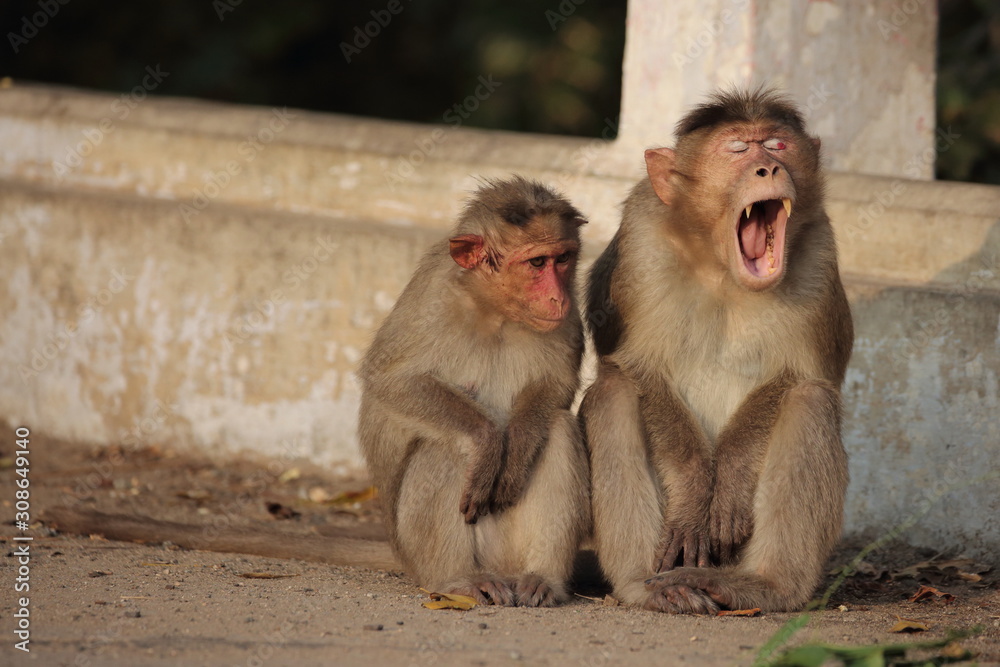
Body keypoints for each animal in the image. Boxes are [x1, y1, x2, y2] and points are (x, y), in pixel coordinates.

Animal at [580, 88, 853, 614]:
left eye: (776, 144)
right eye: (737, 149)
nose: (767, 168)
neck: (721, 266)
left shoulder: (818, 250)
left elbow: (803, 374)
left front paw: (728, 478)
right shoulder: (641, 243)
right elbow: (636, 367)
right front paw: (694, 490)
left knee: (810, 400)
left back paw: (766, 585)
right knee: (612, 392)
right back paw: (647, 586)